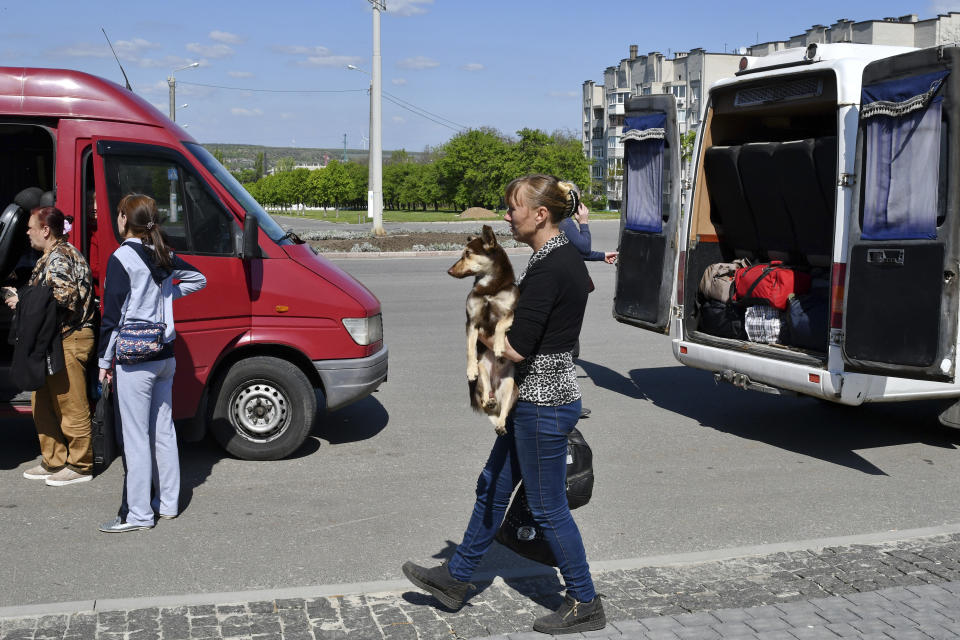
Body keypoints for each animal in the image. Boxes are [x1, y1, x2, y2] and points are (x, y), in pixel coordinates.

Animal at [448, 225, 520, 436]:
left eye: (468, 254)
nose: (449, 270)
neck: (489, 288)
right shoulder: (472, 322)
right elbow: (470, 348)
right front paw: (469, 369)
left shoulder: (511, 312)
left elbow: (500, 324)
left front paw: (498, 347)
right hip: (482, 376)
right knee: (484, 401)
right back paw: (489, 400)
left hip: (510, 385)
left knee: (503, 410)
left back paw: (501, 424)